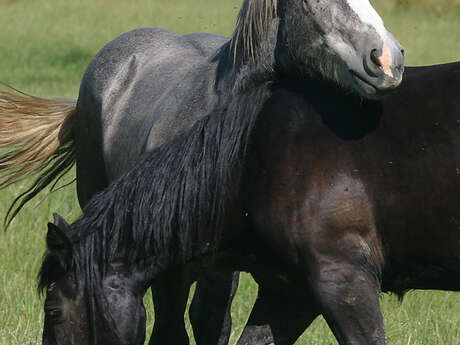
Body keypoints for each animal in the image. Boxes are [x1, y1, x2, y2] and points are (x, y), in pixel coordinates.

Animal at [0, 0, 402, 344]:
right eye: (310, 2)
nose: (387, 59)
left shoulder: (222, 271)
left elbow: (212, 323)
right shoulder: (165, 270)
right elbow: (171, 329)